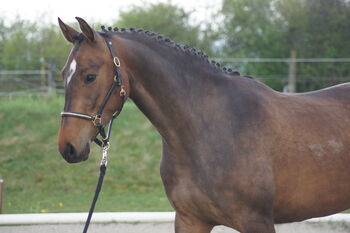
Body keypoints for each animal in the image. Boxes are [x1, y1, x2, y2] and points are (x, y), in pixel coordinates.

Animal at [57, 16, 350, 233]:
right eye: (63, 74)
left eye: (90, 76)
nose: (67, 147)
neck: (209, 130)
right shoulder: (190, 220)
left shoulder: (257, 221)